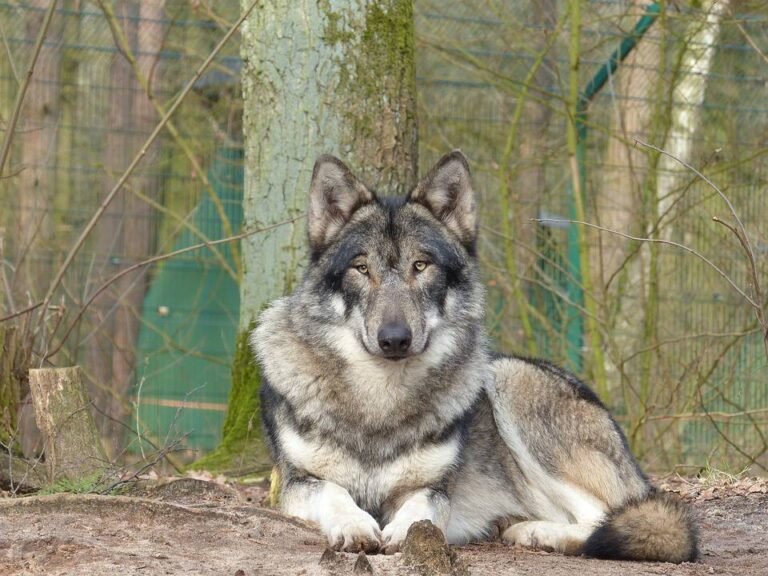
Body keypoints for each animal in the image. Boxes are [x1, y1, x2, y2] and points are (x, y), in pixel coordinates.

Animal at [252, 151, 698, 562]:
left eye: (421, 266)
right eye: (361, 269)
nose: (394, 339)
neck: (380, 402)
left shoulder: (434, 488)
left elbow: (424, 508)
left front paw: (403, 532)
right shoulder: (295, 482)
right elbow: (333, 492)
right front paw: (354, 525)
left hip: (508, 376)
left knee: (606, 520)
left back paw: (536, 533)